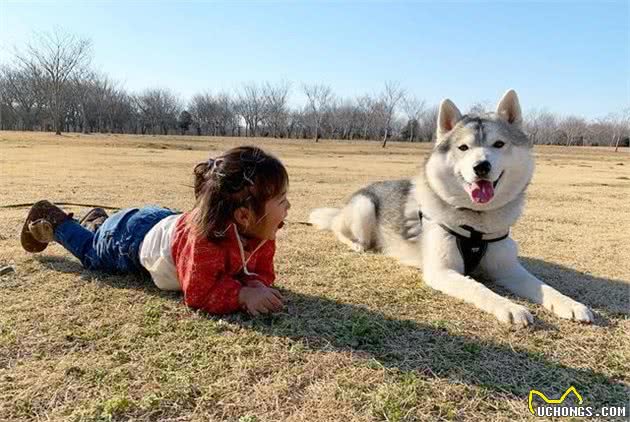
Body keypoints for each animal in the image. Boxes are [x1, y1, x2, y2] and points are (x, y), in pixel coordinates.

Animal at [312, 89, 596, 326]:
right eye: (463, 147)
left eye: (499, 144)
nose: (481, 166)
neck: (477, 223)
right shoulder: (442, 271)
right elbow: (478, 288)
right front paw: (510, 307)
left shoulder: (508, 269)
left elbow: (544, 286)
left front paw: (571, 304)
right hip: (364, 208)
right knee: (340, 229)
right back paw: (358, 245)